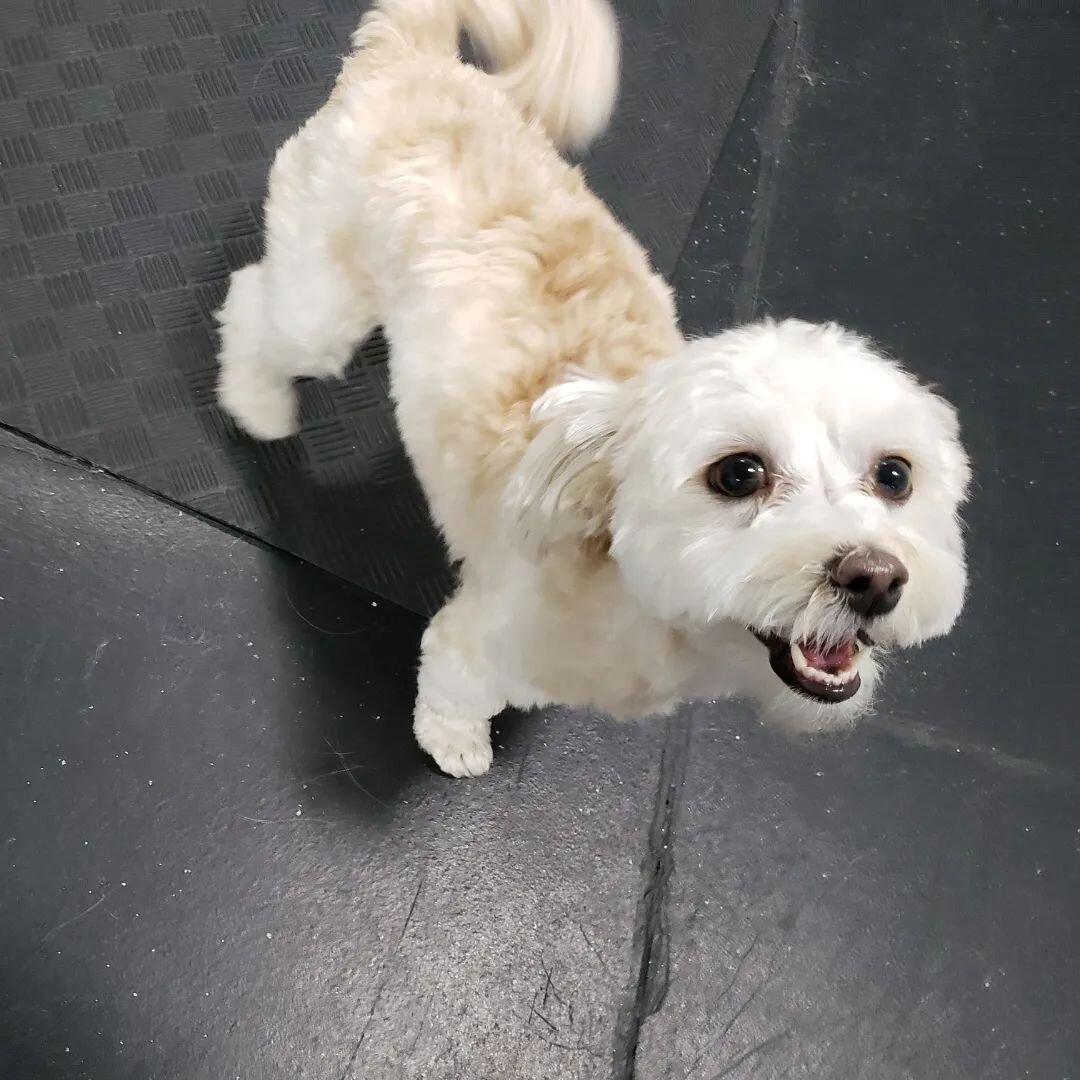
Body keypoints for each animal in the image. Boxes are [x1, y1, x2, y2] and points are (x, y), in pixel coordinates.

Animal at [217, 0, 972, 777]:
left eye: (894, 475)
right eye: (738, 473)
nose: (875, 577)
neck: (644, 609)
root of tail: (414, 54)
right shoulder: (479, 638)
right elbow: (453, 688)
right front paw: (454, 741)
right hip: (321, 304)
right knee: (252, 300)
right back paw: (256, 402)